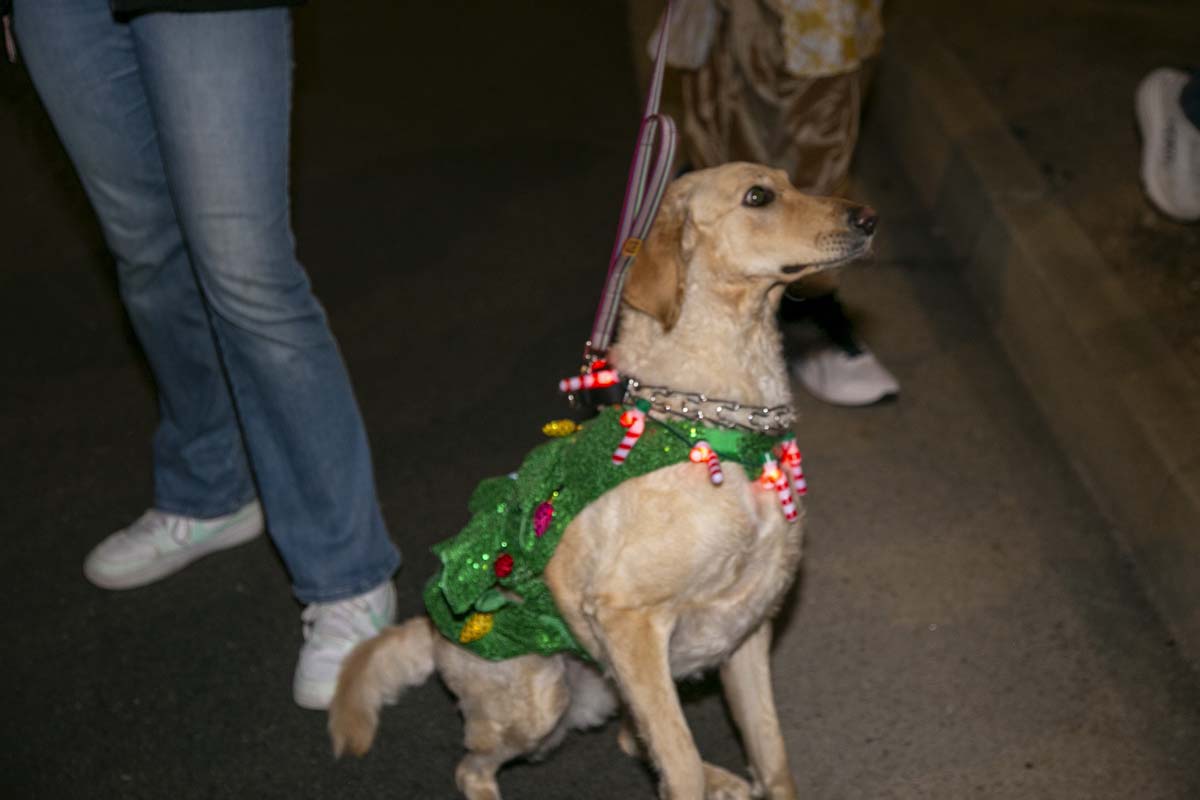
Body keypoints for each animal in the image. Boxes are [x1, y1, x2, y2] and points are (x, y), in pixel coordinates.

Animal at [326, 164, 873, 800]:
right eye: (758, 197)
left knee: (632, 740)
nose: (868, 218)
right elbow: (680, 762)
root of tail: (434, 634)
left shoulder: (747, 633)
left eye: (792, 181)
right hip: (543, 701)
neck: (713, 427)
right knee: (474, 767)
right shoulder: (630, 622)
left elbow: (771, 759)